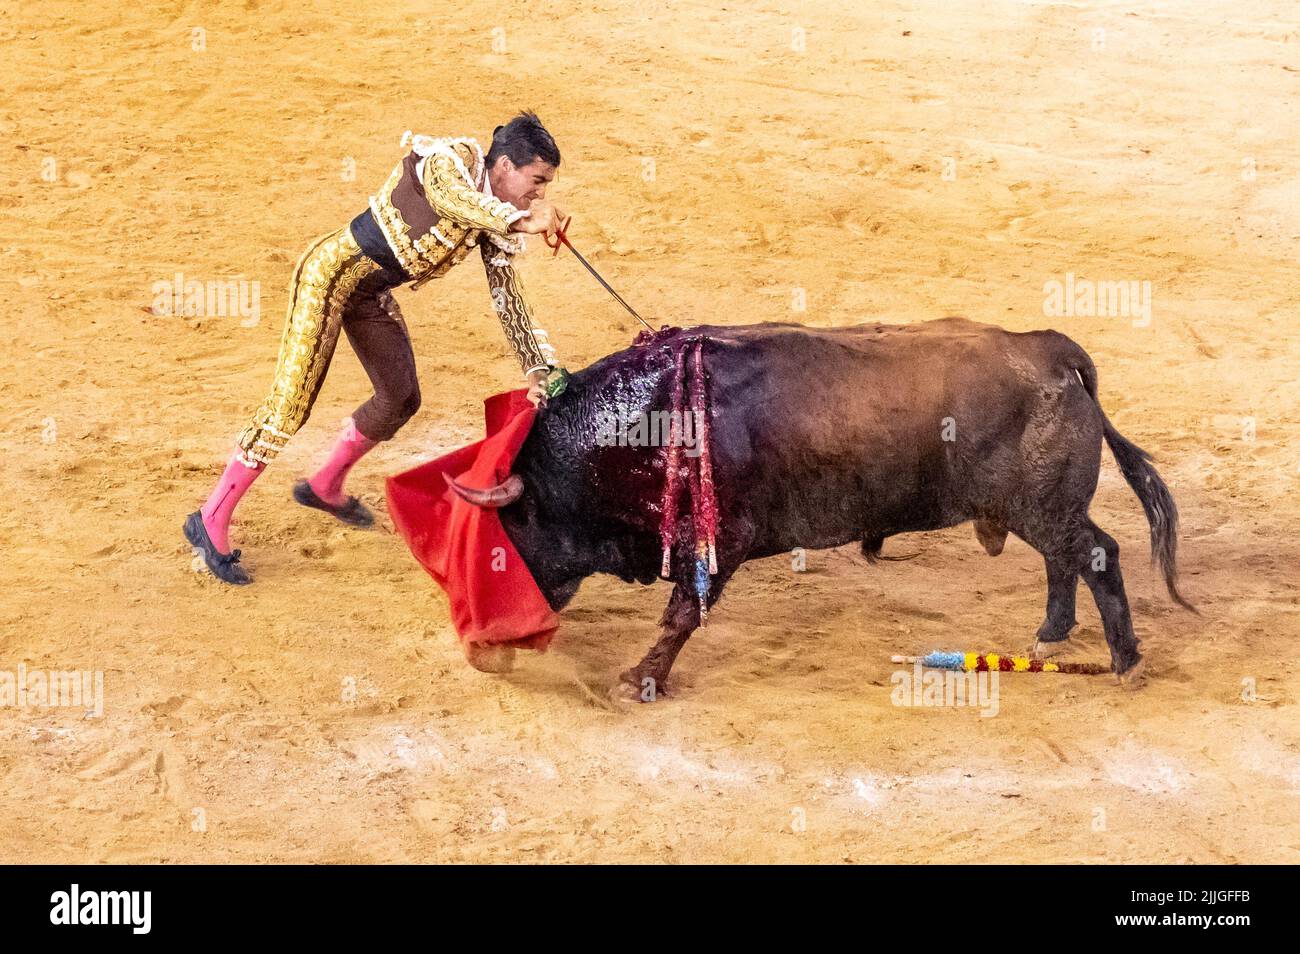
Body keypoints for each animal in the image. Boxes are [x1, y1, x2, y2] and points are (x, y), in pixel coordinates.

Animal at [449, 317, 1196, 696]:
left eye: (505, 535)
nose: (482, 654)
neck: (644, 423)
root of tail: (1054, 351)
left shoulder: (719, 543)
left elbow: (681, 613)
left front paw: (639, 680)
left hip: (1042, 505)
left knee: (1096, 553)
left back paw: (1125, 662)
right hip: (1035, 508)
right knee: (1064, 560)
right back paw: (1051, 631)